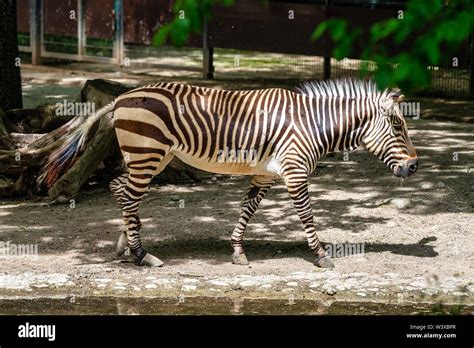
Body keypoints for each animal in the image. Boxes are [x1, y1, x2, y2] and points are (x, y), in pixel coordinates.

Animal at [41, 78, 418, 270]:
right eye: (398, 126)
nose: (415, 166)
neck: (311, 124)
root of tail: (121, 97)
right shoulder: (295, 172)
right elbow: (307, 215)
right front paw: (323, 255)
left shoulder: (265, 174)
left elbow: (247, 210)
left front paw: (237, 251)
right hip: (148, 154)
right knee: (128, 196)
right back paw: (141, 254)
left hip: (151, 157)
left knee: (121, 190)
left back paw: (126, 245)